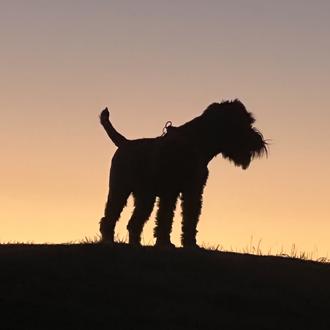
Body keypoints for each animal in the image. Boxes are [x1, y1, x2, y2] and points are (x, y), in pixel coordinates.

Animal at [98, 100, 268, 248]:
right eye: (244, 122)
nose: (259, 141)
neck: (197, 141)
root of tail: (125, 142)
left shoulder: (190, 191)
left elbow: (186, 218)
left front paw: (185, 243)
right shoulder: (172, 191)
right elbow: (169, 217)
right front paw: (169, 243)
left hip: (143, 196)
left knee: (132, 222)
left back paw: (132, 243)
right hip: (121, 191)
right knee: (112, 218)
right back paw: (109, 241)